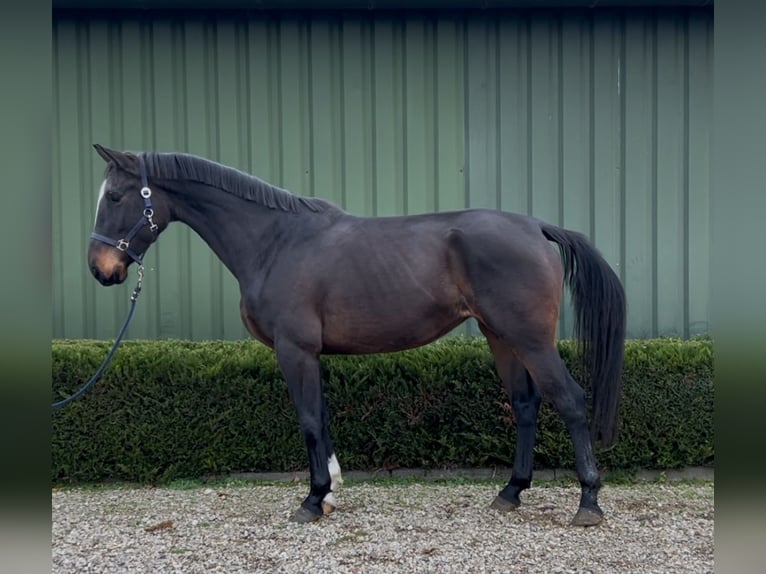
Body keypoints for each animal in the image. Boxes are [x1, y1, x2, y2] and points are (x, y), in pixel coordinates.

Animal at [87, 144, 628, 528]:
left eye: (114, 196)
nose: (101, 269)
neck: (275, 242)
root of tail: (536, 227)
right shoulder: (310, 354)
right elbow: (322, 417)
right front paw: (329, 492)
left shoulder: (295, 350)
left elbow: (308, 420)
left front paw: (311, 499)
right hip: (500, 335)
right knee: (525, 404)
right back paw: (510, 492)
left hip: (530, 338)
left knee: (570, 400)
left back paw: (588, 502)